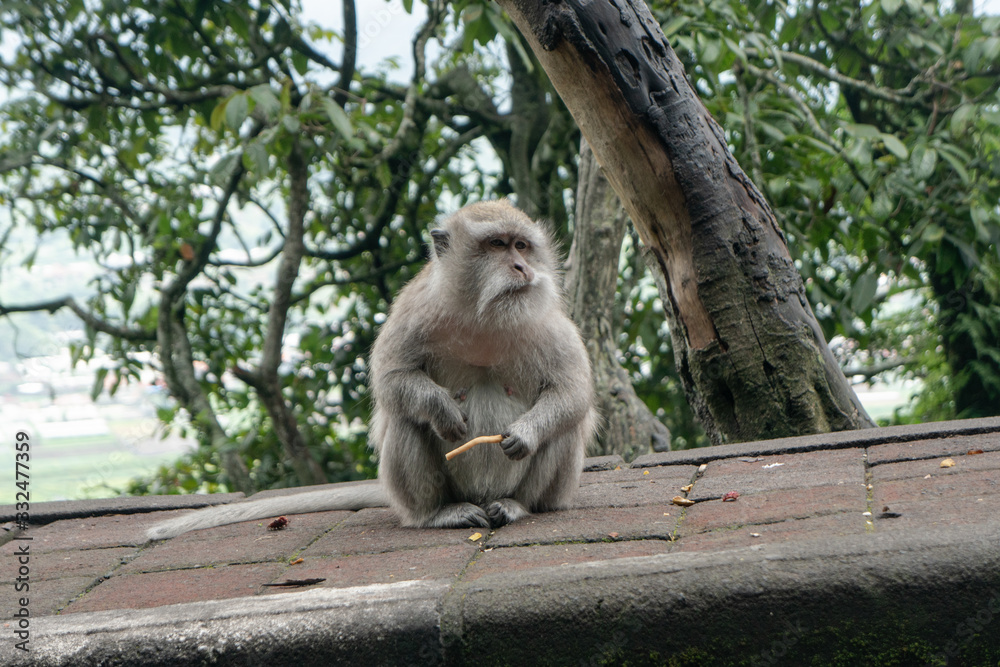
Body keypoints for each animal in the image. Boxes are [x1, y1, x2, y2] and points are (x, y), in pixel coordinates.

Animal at [146, 200, 595, 541]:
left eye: (522, 245)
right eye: (497, 244)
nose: (521, 267)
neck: (484, 314)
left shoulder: (549, 321)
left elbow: (571, 392)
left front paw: (526, 433)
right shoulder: (416, 308)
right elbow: (392, 380)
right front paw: (442, 409)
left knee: (564, 429)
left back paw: (518, 505)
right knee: (406, 420)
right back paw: (434, 514)